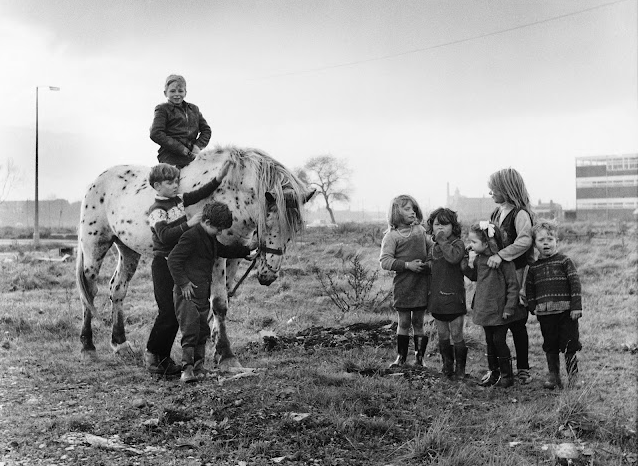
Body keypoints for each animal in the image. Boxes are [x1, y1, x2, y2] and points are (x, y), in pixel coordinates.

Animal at [77, 147, 316, 372]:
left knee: (117, 289)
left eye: (292, 231)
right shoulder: (217, 255)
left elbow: (222, 300)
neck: (231, 196)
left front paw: (216, 345)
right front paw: (226, 355)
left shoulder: (232, 256)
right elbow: (218, 303)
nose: (269, 276)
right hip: (94, 247)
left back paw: (120, 344)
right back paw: (88, 346)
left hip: (128, 251)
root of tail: (96, 181)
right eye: (268, 224)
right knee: (90, 291)